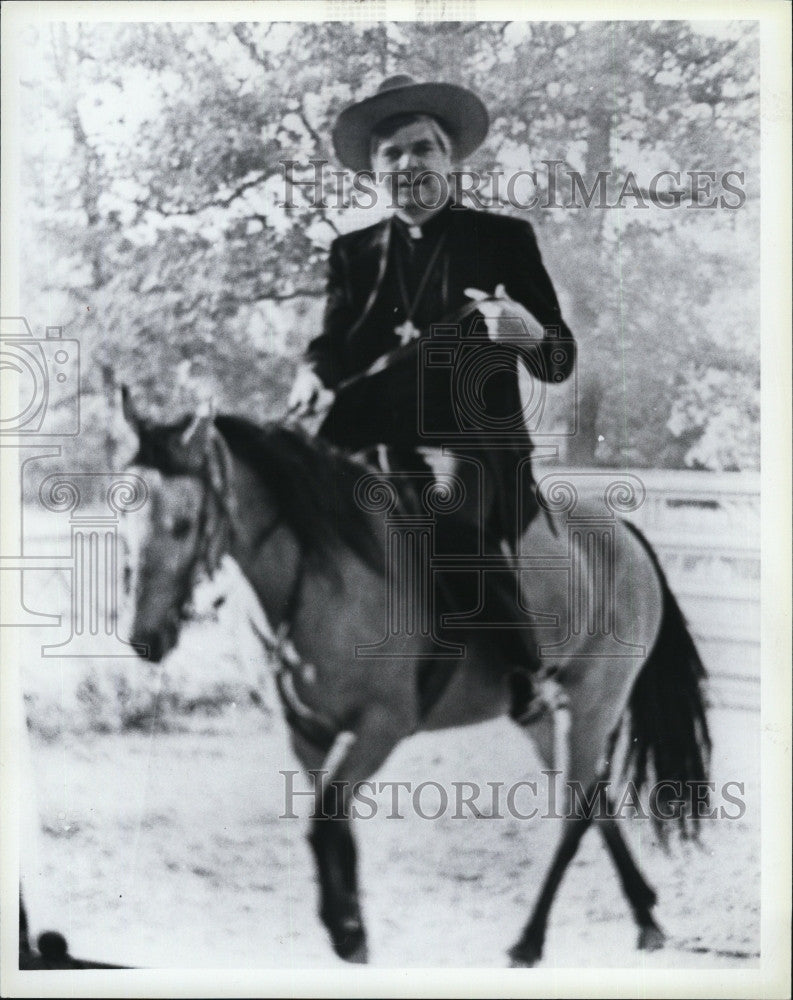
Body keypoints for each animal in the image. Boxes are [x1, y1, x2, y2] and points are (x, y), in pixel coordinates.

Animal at [119, 386, 712, 964]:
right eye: (123, 516)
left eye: (183, 524)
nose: (144, 636)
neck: (322, 577)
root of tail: (627, 535)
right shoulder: (305, 732)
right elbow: (332, 821)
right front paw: (353, 927)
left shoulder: (379, 726)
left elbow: (324, 818)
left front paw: (344, 931)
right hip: (542, 717)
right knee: (594, 799)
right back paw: (645, 915)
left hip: (594, 704)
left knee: (576, 812)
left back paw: (530, 939)